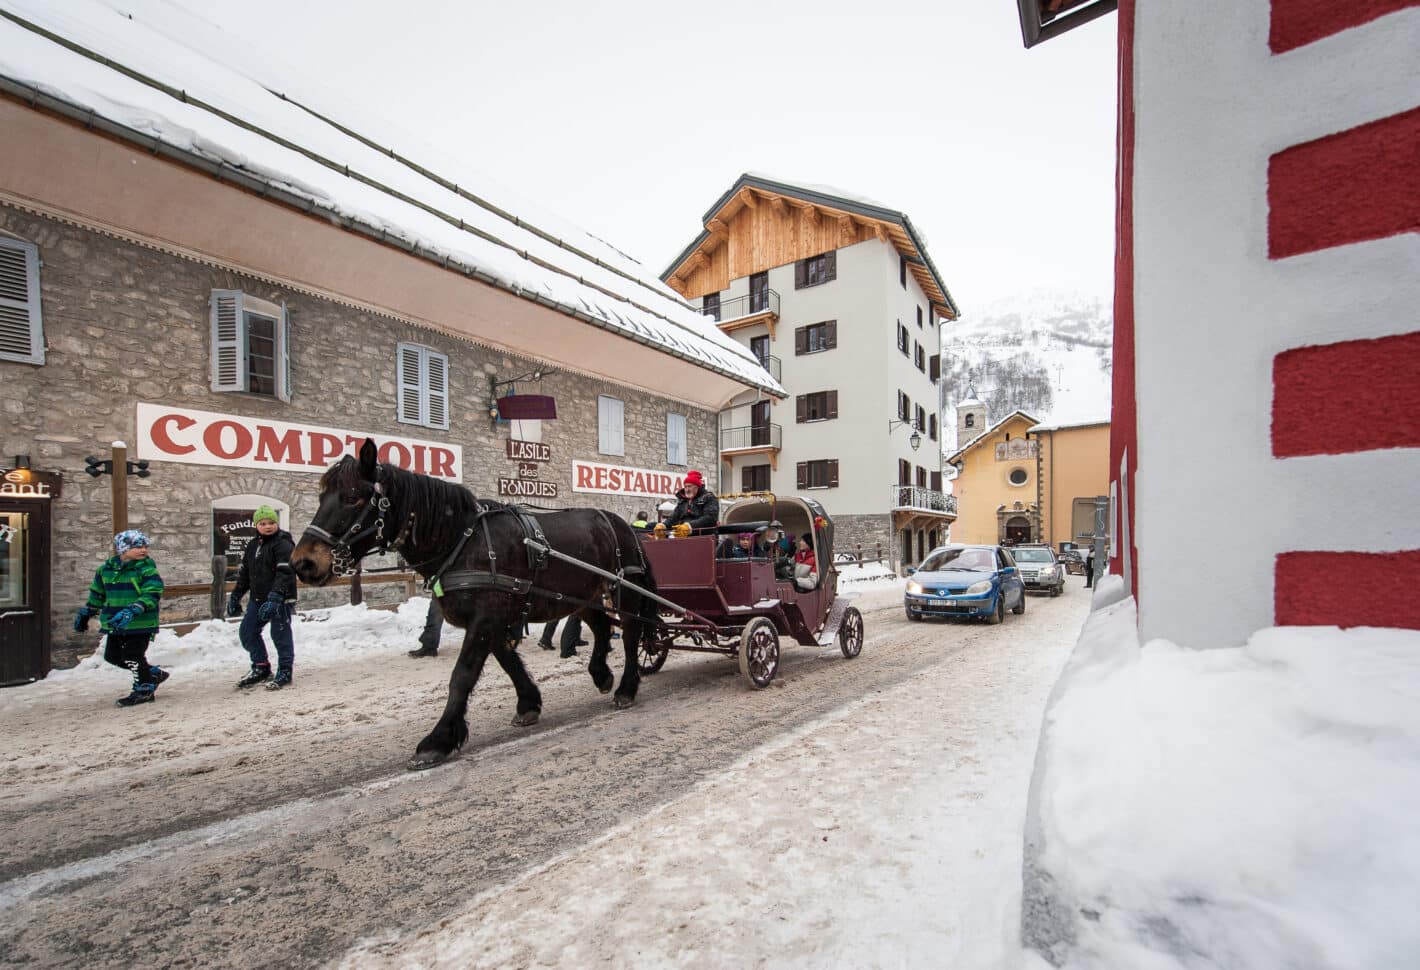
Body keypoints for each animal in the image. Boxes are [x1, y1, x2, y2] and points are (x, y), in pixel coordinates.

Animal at [292, 437, 664, 766]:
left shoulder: (487, 616)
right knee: (601, 628)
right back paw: (601, 674)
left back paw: (627, 687)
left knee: (631, 635)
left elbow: (463, 674)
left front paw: (438, 739)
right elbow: (507, 660)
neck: (461, 539)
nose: (303, 562)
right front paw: (528, 703)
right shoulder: (494, 616)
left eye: (353, 498)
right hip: (581, 595)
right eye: (322, 495)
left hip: (625, 589)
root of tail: (623, 524)